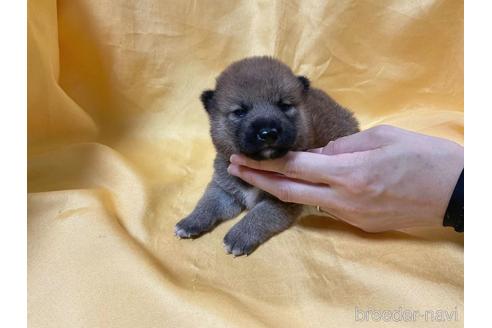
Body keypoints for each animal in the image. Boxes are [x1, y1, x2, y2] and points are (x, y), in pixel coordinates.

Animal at [175, 56, 360, 256]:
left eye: (284, 105)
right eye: (240, 111)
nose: (268, 133)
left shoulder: (282, 200)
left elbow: (258, 215)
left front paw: (239, 235)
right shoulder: (223, 188)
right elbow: (207, 203)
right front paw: (191, 221)